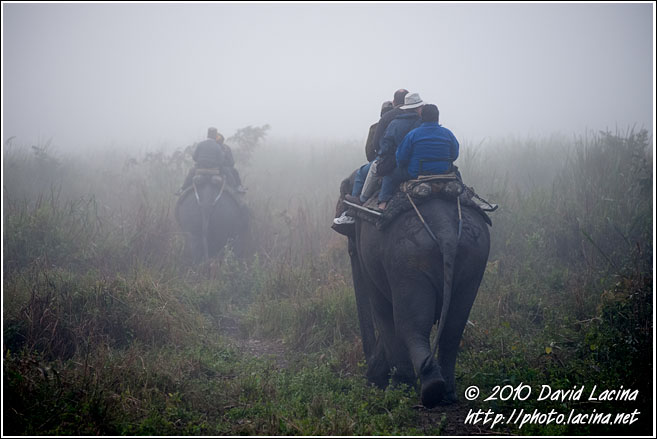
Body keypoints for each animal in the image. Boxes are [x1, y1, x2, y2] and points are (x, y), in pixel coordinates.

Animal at [336, 175, 490, 410]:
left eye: (350, 247)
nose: (370, 380)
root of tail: (445, 230)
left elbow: (382, 309)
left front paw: (393, 388)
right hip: (474, 255)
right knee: (454, 325)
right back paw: (446, 393)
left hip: (408, 259)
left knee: (411, 324)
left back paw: (425, 389)